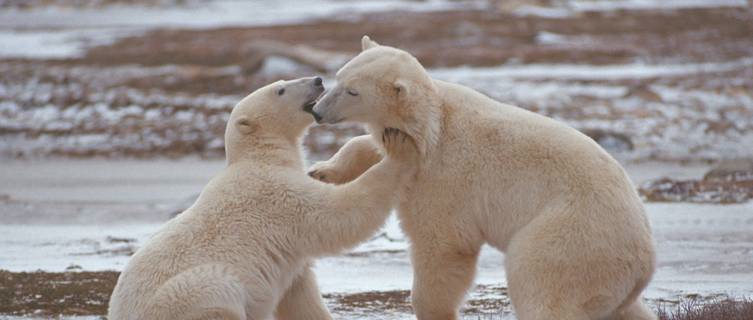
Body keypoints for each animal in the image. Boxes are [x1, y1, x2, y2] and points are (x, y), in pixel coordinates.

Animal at [107, 77, 418, 320]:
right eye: (280, 89)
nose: (317, 80)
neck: (260, 156)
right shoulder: (276, 195)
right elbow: (337, 215)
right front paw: (398, 148)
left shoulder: (289, 259)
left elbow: (300, 294)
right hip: (183, 295)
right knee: (217, 290)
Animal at [308, 38, 656, 320]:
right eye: (338, 77)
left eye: (352, 90)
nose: (317, 111)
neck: (431, 125)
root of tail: (644, 263)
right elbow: (372, 148)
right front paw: (321, 171)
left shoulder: (444, 176)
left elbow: (443, 246)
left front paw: (433, 310)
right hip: (608, 278)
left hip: (572, 237)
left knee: (539, 282)